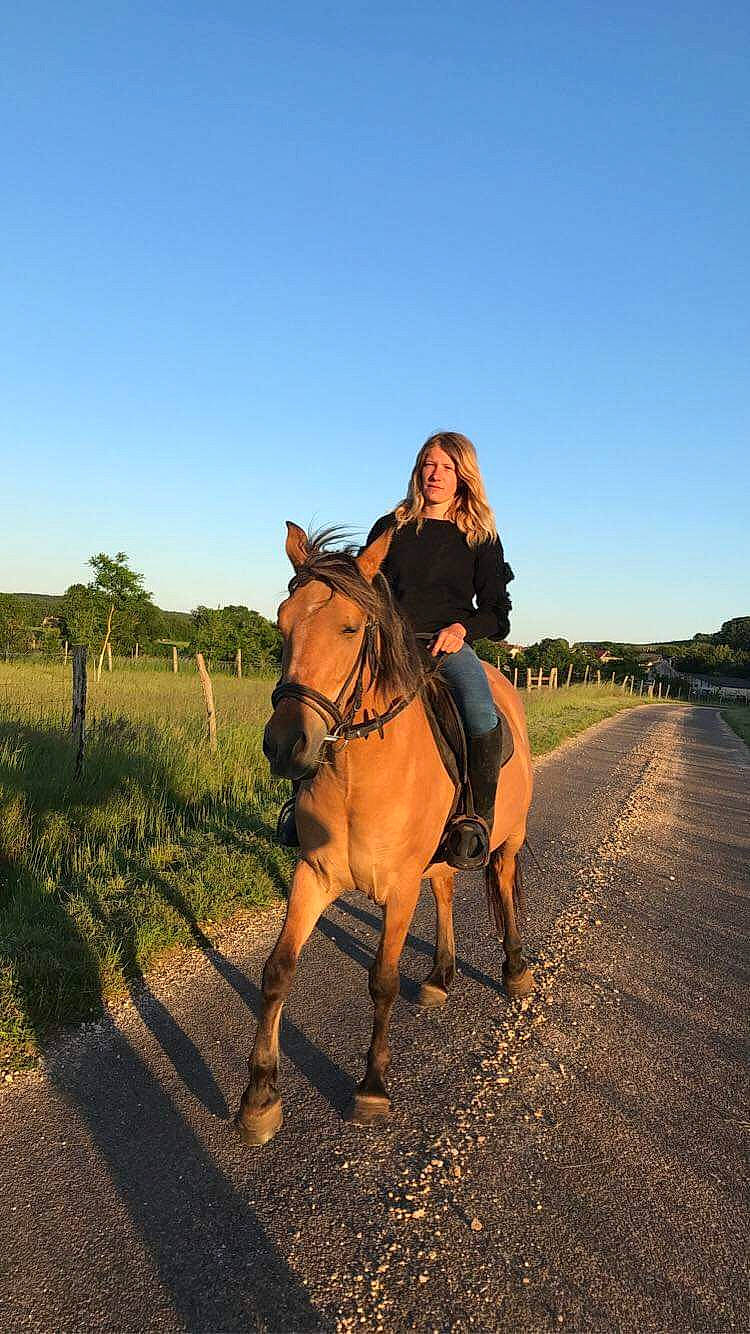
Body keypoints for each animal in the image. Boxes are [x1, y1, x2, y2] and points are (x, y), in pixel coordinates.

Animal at [235, 521, 534, 1145]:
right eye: (281, 622)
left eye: (351, 628)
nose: (285, 745)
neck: (359, 774)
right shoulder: (314, 874)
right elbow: (277, 972)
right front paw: (260, 1097)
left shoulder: (398, 887)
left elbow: (383, 980)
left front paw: (372, 1088)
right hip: (443, 855)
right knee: (445, 886)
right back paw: (441, 975)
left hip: (509, 839)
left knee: (504, 886)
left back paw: (515, 970)